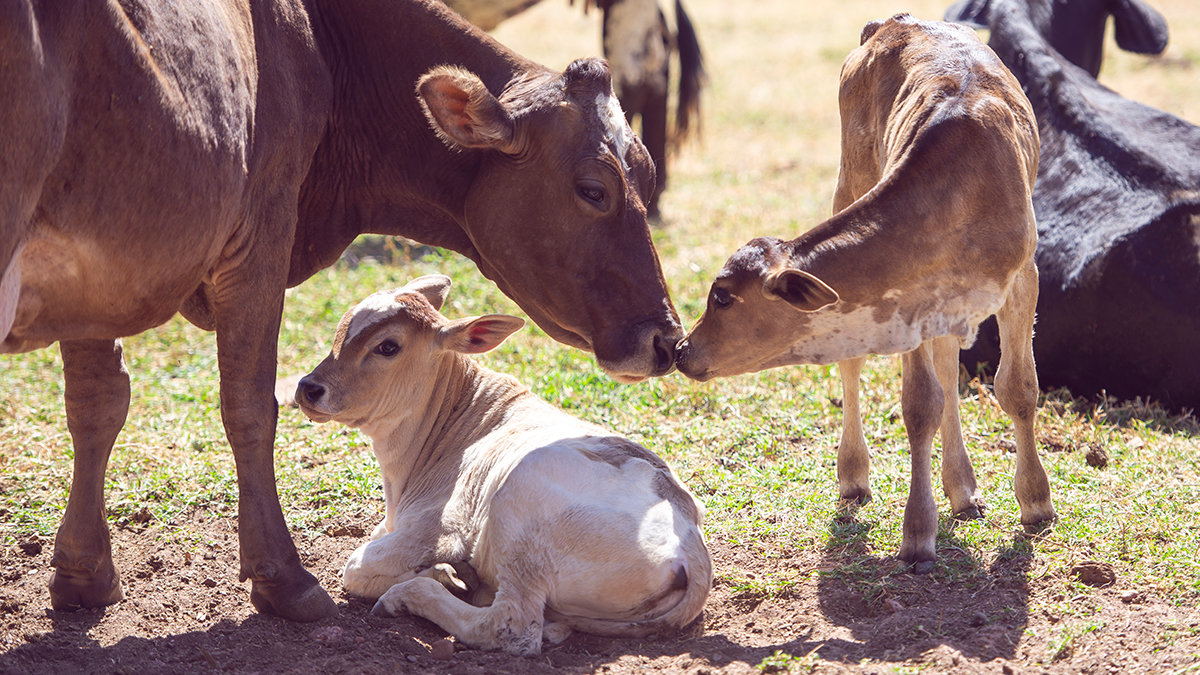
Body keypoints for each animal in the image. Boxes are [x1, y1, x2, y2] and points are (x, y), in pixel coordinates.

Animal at [294, 275, 711, 655]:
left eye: (387, 346)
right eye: (341, 329)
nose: (308, 388)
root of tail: (691, 543)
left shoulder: (436, 532)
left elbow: (355, 569)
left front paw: (439, 575)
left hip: (520, 504)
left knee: (512, 627)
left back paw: (414, 593)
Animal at [675, 15, 1056, 571]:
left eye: (722, 295)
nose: (682, 349)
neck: (960, 192)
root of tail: (893, 21)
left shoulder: (1023, 275)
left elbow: (1018, 388)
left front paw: (1035, 503)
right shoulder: (907, 299)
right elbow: (919, 404)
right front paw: (918, 533)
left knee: (948, 366)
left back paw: (963, 489)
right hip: (848, 176)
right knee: (860, 365)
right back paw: (857, 475)